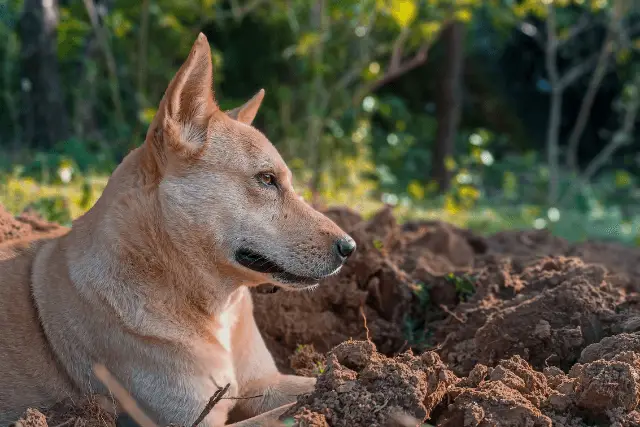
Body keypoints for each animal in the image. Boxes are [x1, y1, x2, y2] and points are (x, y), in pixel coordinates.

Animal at [0, 34, 358, 427]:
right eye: (266, 179)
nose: (350, 247)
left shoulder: (266, 384)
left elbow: (318, 387)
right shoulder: (194, 419)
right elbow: (288, 412)